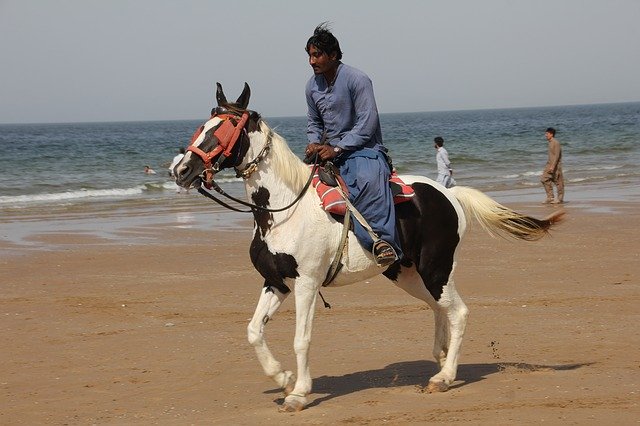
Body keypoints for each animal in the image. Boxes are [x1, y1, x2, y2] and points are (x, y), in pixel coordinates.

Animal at [172, 83, 564, 412]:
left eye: (222, 128)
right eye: (203, 126)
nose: (181, 169)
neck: (284, 209)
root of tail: (450, 194)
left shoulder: (306, 284)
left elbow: (302, 338)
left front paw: (299, 393)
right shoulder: (277, 282)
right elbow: (254, 331)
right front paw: (283, 378)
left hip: (435, 269)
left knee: (459, 311)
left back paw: (444, 376)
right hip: (407, 274)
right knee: (440, 309)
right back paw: (440, 359)